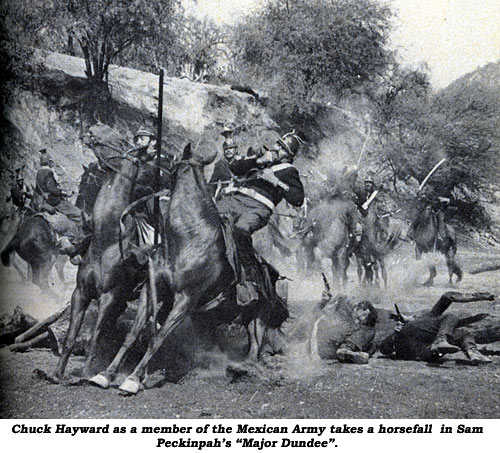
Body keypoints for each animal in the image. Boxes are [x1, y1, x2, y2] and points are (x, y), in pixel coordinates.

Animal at [53, 122, 153, 380]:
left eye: (121, 142)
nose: (97, 126)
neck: (106, 240)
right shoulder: (80, 293)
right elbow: (70, 337)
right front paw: (58, 373)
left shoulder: (110, 296)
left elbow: (96, 336)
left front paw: (85, 373)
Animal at [88, 142, 288, 392]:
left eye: (164, 161)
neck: (188, 239)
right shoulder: (151, 289)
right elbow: (133, 334)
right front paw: (106, 374)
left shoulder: (186, 299)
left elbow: (158, 338)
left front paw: (133, 379)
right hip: (209, 319)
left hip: (259, 316)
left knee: (254, 348)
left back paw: (242, 370)